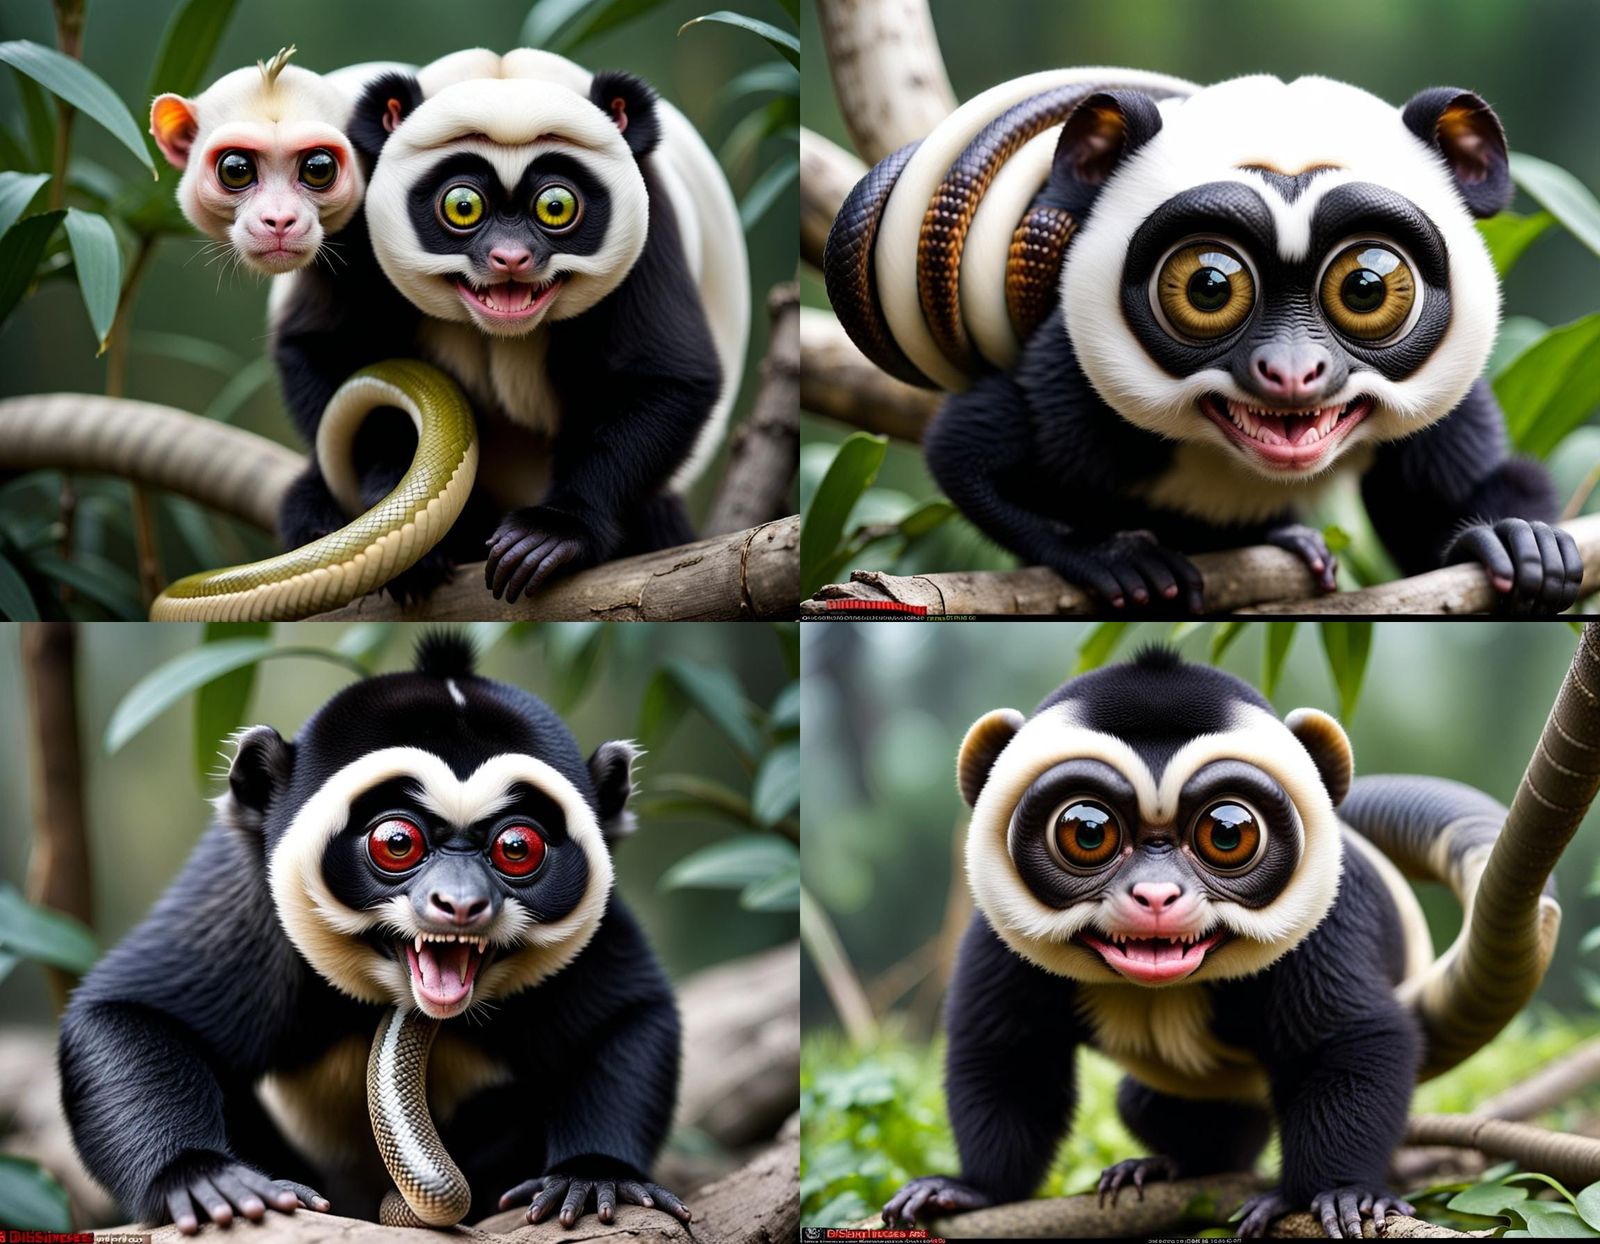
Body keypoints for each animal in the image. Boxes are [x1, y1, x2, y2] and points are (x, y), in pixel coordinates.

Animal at [59, 632, 689, 1233]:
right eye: (397, 842)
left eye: (517, 847)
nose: (460, 903)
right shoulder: (245, 909)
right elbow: (127, 1011)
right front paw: (200, 1177)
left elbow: (627, 1016)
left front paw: (595, 1174)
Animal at [825, 72, 1584, 615]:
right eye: (1208, 286)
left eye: (1367, 286)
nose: (1292, 371)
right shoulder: (1072, 392)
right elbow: (965, 456)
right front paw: (1111, 556)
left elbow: (1447, 519)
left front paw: (1507, 537)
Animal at [879, 646, 1563, 1238]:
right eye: (1087, 831)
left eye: (1228, 833)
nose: (1157, 896)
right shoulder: (996, 940)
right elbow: (1012, 1054)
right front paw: (972, 1190)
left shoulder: (1328, 925)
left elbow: (1351, 1040)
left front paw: (1337, 1192)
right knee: (1150, 1107)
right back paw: (1167, 1167)